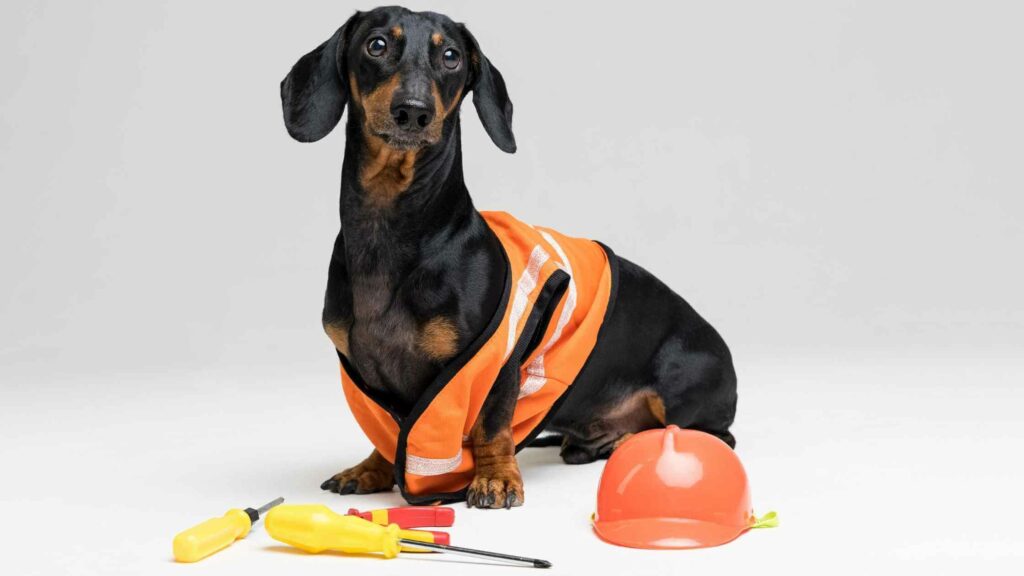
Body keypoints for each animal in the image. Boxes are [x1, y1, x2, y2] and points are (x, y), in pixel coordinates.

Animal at [280, 5, 737, 506]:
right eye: (376, 45)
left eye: (451, 56)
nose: (413, 112)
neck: (392, 226)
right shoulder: (367, 376)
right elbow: (386, 428)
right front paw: (371, 469)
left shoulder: (497, 358)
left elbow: (492, 425)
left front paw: (496, 477)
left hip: (682, 390)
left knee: (707, 435)